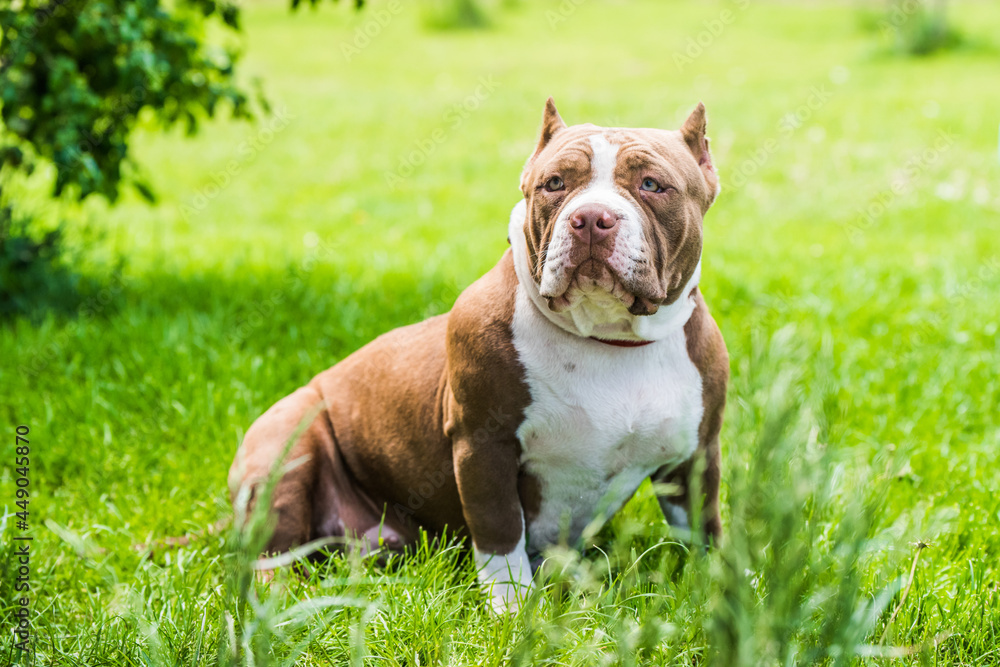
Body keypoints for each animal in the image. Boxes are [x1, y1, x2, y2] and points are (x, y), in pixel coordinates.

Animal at [229, 96, 728, 612]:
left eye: (651, 184)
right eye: (555, 183)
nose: (591, 218)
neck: (608, 339)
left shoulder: (697, 453)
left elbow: (703, 525)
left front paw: (717, 586)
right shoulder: (483, 444)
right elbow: (500, 526)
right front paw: (510, 606)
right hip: (285, 448)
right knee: (268, 556)